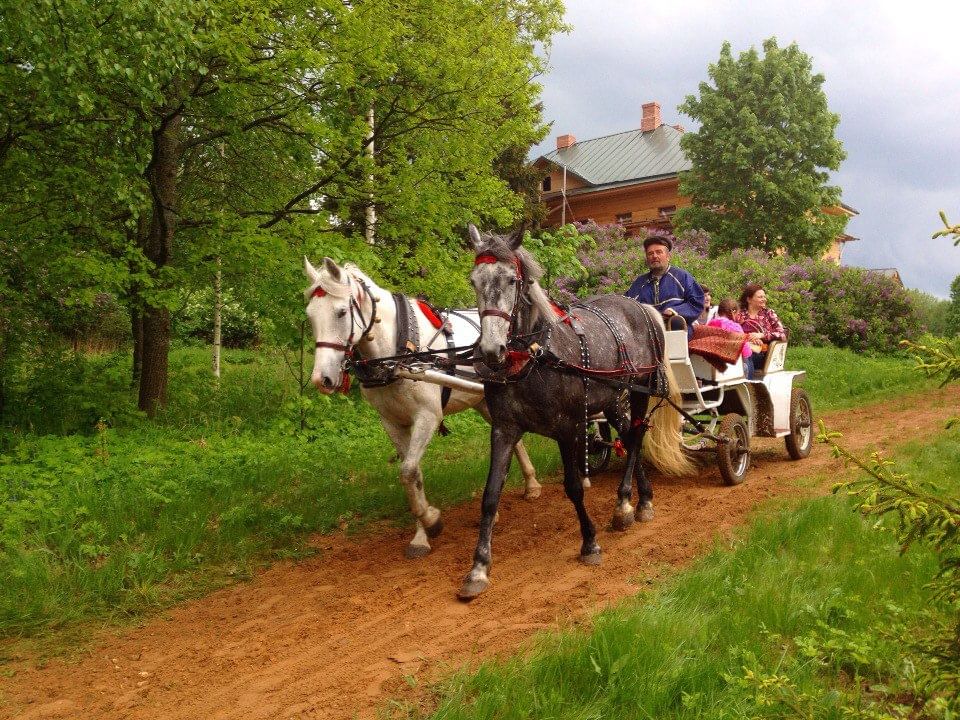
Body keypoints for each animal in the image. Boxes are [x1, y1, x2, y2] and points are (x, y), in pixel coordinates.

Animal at [302, 256, 540, 560]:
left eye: (341, 312)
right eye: (310, 315)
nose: (322, 379)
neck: (396, 355)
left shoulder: (427, 416)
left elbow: (407, 471)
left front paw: (432, 520)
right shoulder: (392, 422)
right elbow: (412, 475)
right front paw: (421, 535)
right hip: (484, 401)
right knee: (514, 438)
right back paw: (527, 487)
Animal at [458, 225, 688, 596]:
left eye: (511, 280)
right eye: (475, 280)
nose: (492, 351)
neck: (533, 357)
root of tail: (642, 307)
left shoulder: (567, 428)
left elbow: (574, 486)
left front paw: (590, 543)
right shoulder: (504, 429)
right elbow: (490, 496)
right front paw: (478, 568)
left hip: (641, 388)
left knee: (637, 436)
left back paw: (627, 503)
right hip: (612, 400)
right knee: (629, 436)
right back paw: (637, 500)